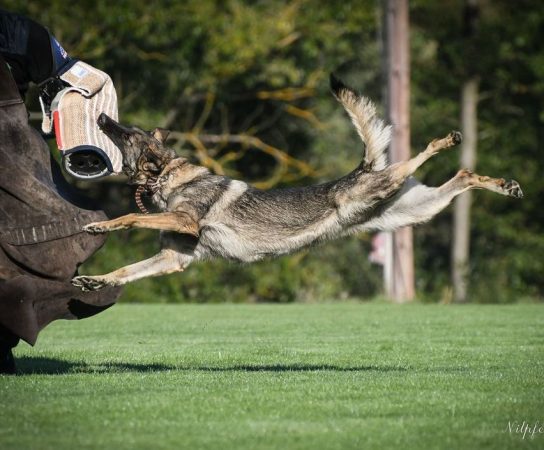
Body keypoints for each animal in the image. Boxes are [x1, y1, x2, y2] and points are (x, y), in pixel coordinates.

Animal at [71, 74, 524, 292]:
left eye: (127, 134)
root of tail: (362, 169)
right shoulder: (172, 259)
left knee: (423, 153)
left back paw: (448, 140)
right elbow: (127, 269)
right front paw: (96, 281)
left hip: (384, 186)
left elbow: (130, 216)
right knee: (462, 177)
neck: (168, 176)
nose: (102, 117)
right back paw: (505, 186)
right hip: (416, 209)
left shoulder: (183, 224)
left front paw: (99, 225)